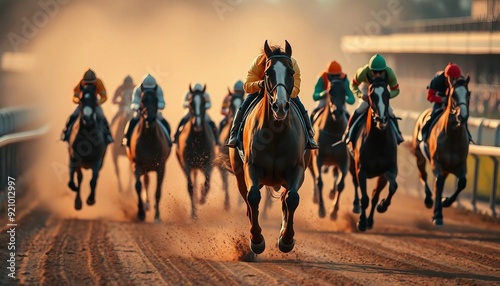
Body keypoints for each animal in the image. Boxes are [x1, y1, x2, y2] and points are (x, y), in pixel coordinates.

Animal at [229, 40, 308, 255]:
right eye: (267, 73)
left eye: (291, 72)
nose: (280, 106)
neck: (275, 135)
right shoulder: (250, 167)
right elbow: (253, 197)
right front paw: (256, 240)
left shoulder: (297, 169)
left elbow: (292, 199)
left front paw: (286, 239)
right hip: (239, 173)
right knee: (248, 202)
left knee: (285, 199)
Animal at [412, 75, 470, 226]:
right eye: (453, 95)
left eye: (468, 94)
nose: (463, 116)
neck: (453, 136)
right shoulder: (436, 162)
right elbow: (437, 182)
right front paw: (437, 213)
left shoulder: (460, 164)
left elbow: (462, 183)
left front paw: (445, 202)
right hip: (419, 156)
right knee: (424, 176)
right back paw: (428, 201)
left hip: (446, 169)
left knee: (440, 183)